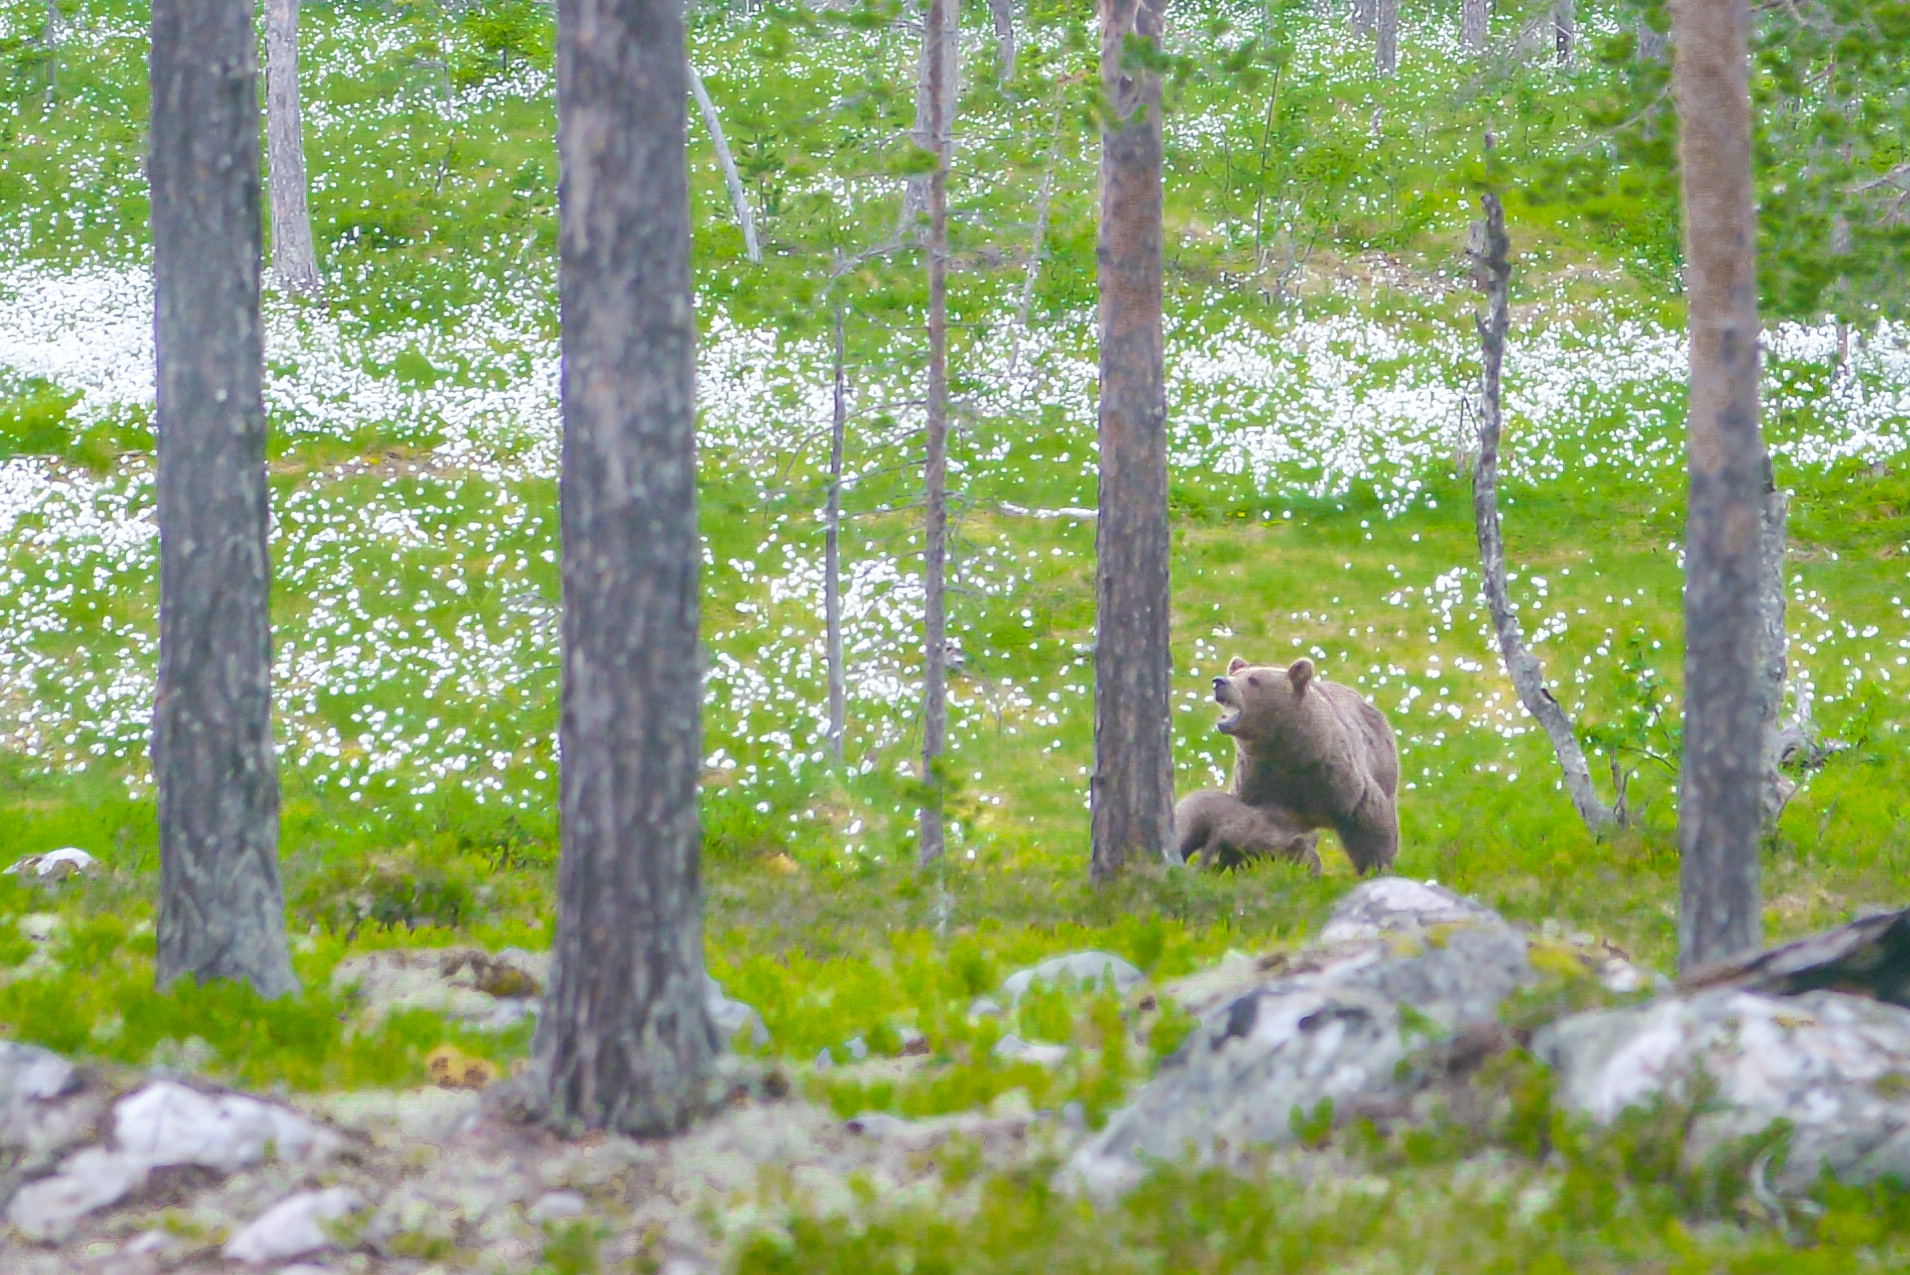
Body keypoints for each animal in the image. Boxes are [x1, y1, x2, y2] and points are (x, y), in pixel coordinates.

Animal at [1174, 788, 1322, 875]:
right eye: (1305, 862)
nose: (1317, 872)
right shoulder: (1226, 833)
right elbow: (1209, 852)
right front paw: (1201, 868)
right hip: (1191, 826)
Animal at [1208, 655, 1399, 876]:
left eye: (1253, 680)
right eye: (1235, 674)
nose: (1219, 682)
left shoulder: (1336, 780)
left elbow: (1371, 822)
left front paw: (1376, 867)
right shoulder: (1257, 780)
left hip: (1384, 764)